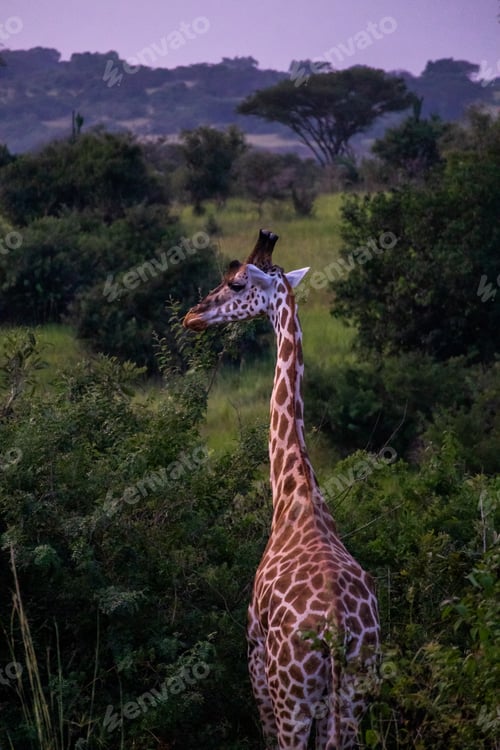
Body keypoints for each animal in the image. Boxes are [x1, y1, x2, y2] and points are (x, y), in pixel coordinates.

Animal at [183, 229, 380, 749]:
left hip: (292, 693)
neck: (296, 492)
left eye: (235, 284)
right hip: (354, 695)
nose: (192, 315)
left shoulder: (254, 653)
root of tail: (338, 631)